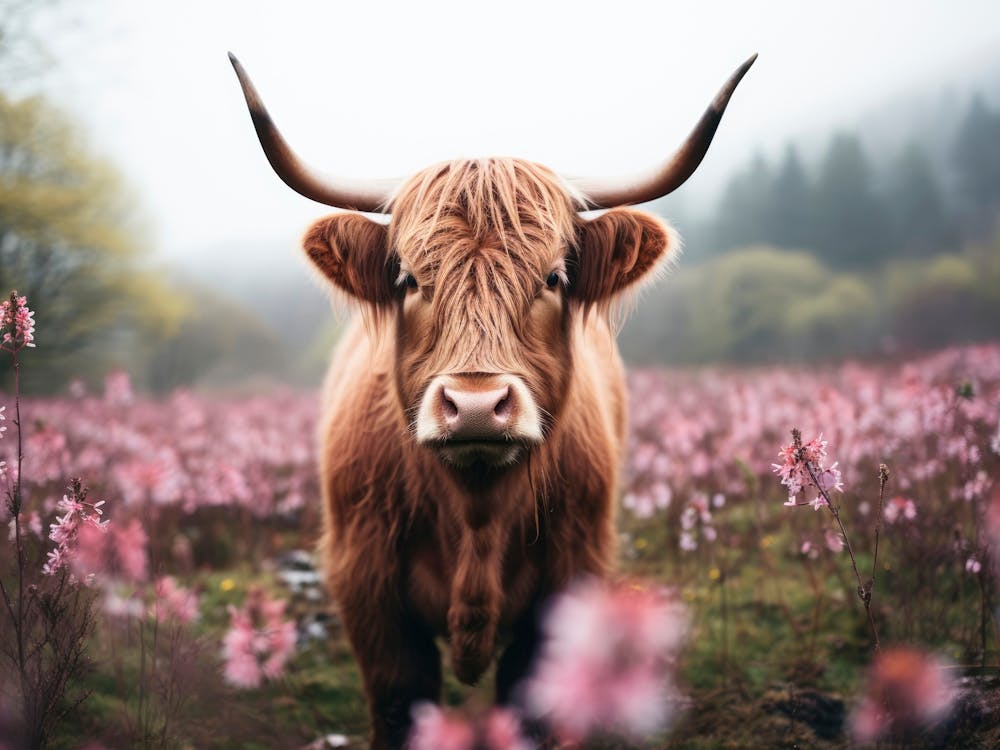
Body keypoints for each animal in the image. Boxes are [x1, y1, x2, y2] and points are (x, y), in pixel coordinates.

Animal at [230, 53, 754, 749]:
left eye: (554, 277)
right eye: (407, 278)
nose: (476, 405)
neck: (475, 511)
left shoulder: (569, 579)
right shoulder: (367, 588)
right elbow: (398, 702)